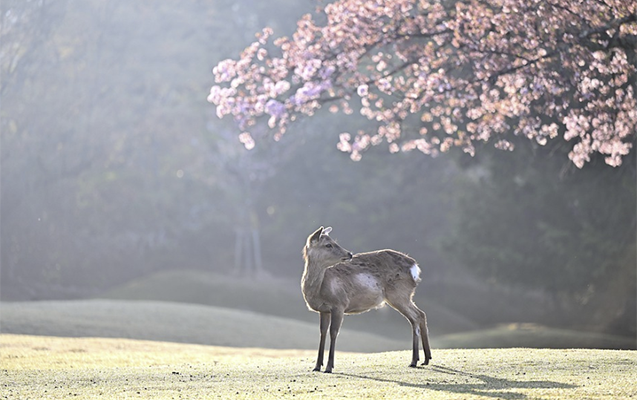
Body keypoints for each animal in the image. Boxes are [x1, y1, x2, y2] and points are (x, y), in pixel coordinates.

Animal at [302, 225, 432, 372]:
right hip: (404, 296)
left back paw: (416, 360)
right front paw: (317, 366)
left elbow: (333, 332)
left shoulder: (340, 304)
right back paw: (424, 359)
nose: (349, 254)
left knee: (416, 316)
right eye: (328, 244)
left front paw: (329, 367)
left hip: (399, 294)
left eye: (334, 242)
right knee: (420, 315)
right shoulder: (323, 310)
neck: (318, 290)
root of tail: (414, 267)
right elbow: (322, 333)